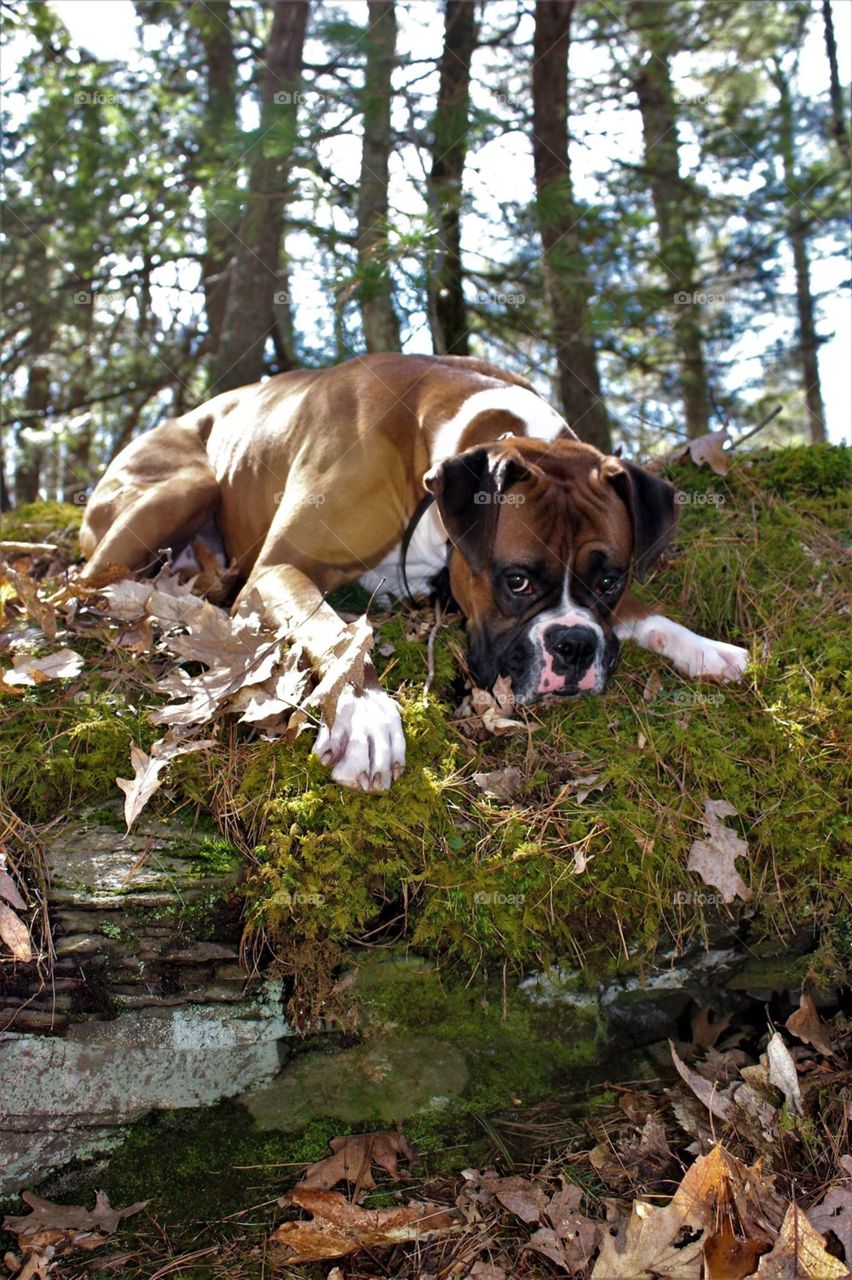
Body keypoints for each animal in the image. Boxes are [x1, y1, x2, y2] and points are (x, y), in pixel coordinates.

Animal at [78, 350, 741, 788]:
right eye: (517, 580)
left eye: (610, 580)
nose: (575, 646)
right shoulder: (278, 569)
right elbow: (336, 630)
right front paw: (365, 714)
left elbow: (645, 615)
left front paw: (706, 648)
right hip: (186, 487)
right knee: (87, 580)